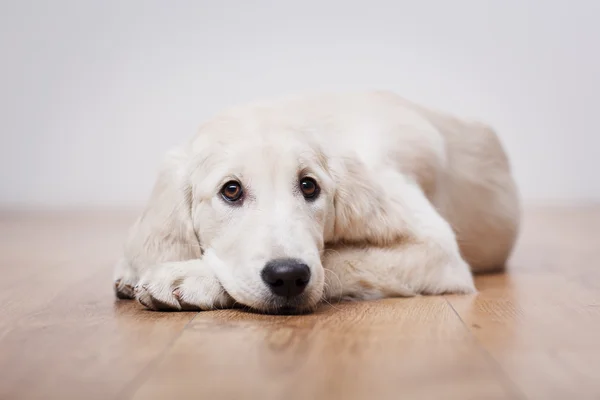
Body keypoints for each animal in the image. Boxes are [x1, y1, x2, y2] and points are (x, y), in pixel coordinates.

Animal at [113, 91, 520, 316]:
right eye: (231, 190)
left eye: (309, 186)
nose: (288, 276)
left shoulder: (439, 252)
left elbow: (339, 260)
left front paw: (191, 277)